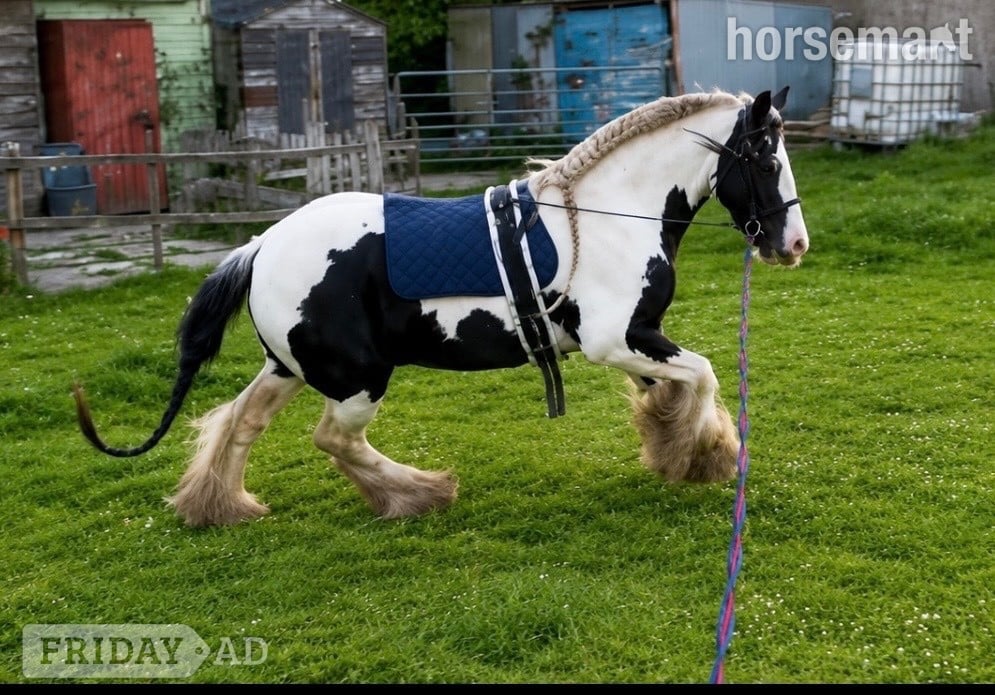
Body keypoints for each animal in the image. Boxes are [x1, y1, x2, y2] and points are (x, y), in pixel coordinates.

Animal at [73, 88, 809, 527]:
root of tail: (259, 246)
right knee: (333, 438)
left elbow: (675, 388)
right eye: (766, 158)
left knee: (239, 420)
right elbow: (704, 374)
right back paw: (417, 493)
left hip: (288, 368)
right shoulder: (616, 339)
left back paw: (219, 505)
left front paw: (681, 449)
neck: (606, 216)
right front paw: (699, 456)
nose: (793, 244)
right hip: (358, 377)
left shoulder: (638, 338)